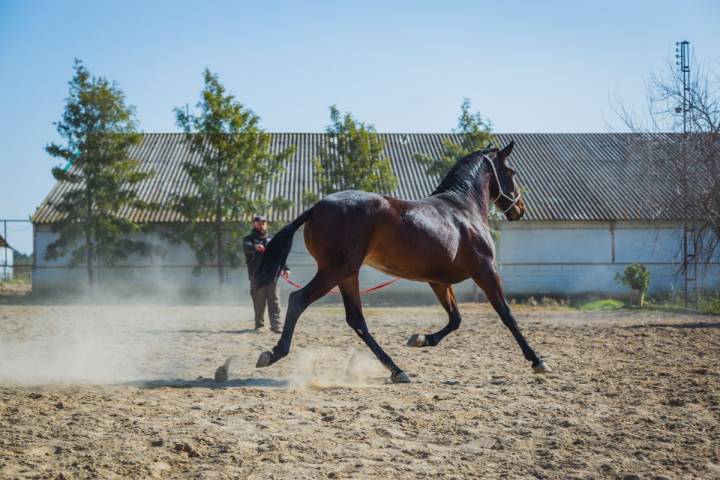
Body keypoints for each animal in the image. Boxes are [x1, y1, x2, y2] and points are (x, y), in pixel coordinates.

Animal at [250, 142, 548, 382]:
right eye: (512, 173)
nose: (519, 209)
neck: (463, 210)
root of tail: (315, 208)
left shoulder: (439, 282)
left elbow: (456, 319)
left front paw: (421, 339)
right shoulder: (485, 271)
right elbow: (506, 315)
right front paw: (537, 361)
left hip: (347, 274)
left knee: (356, 319)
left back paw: (397, 370)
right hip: (336, 270)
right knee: (299, 300)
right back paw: (273, 353)